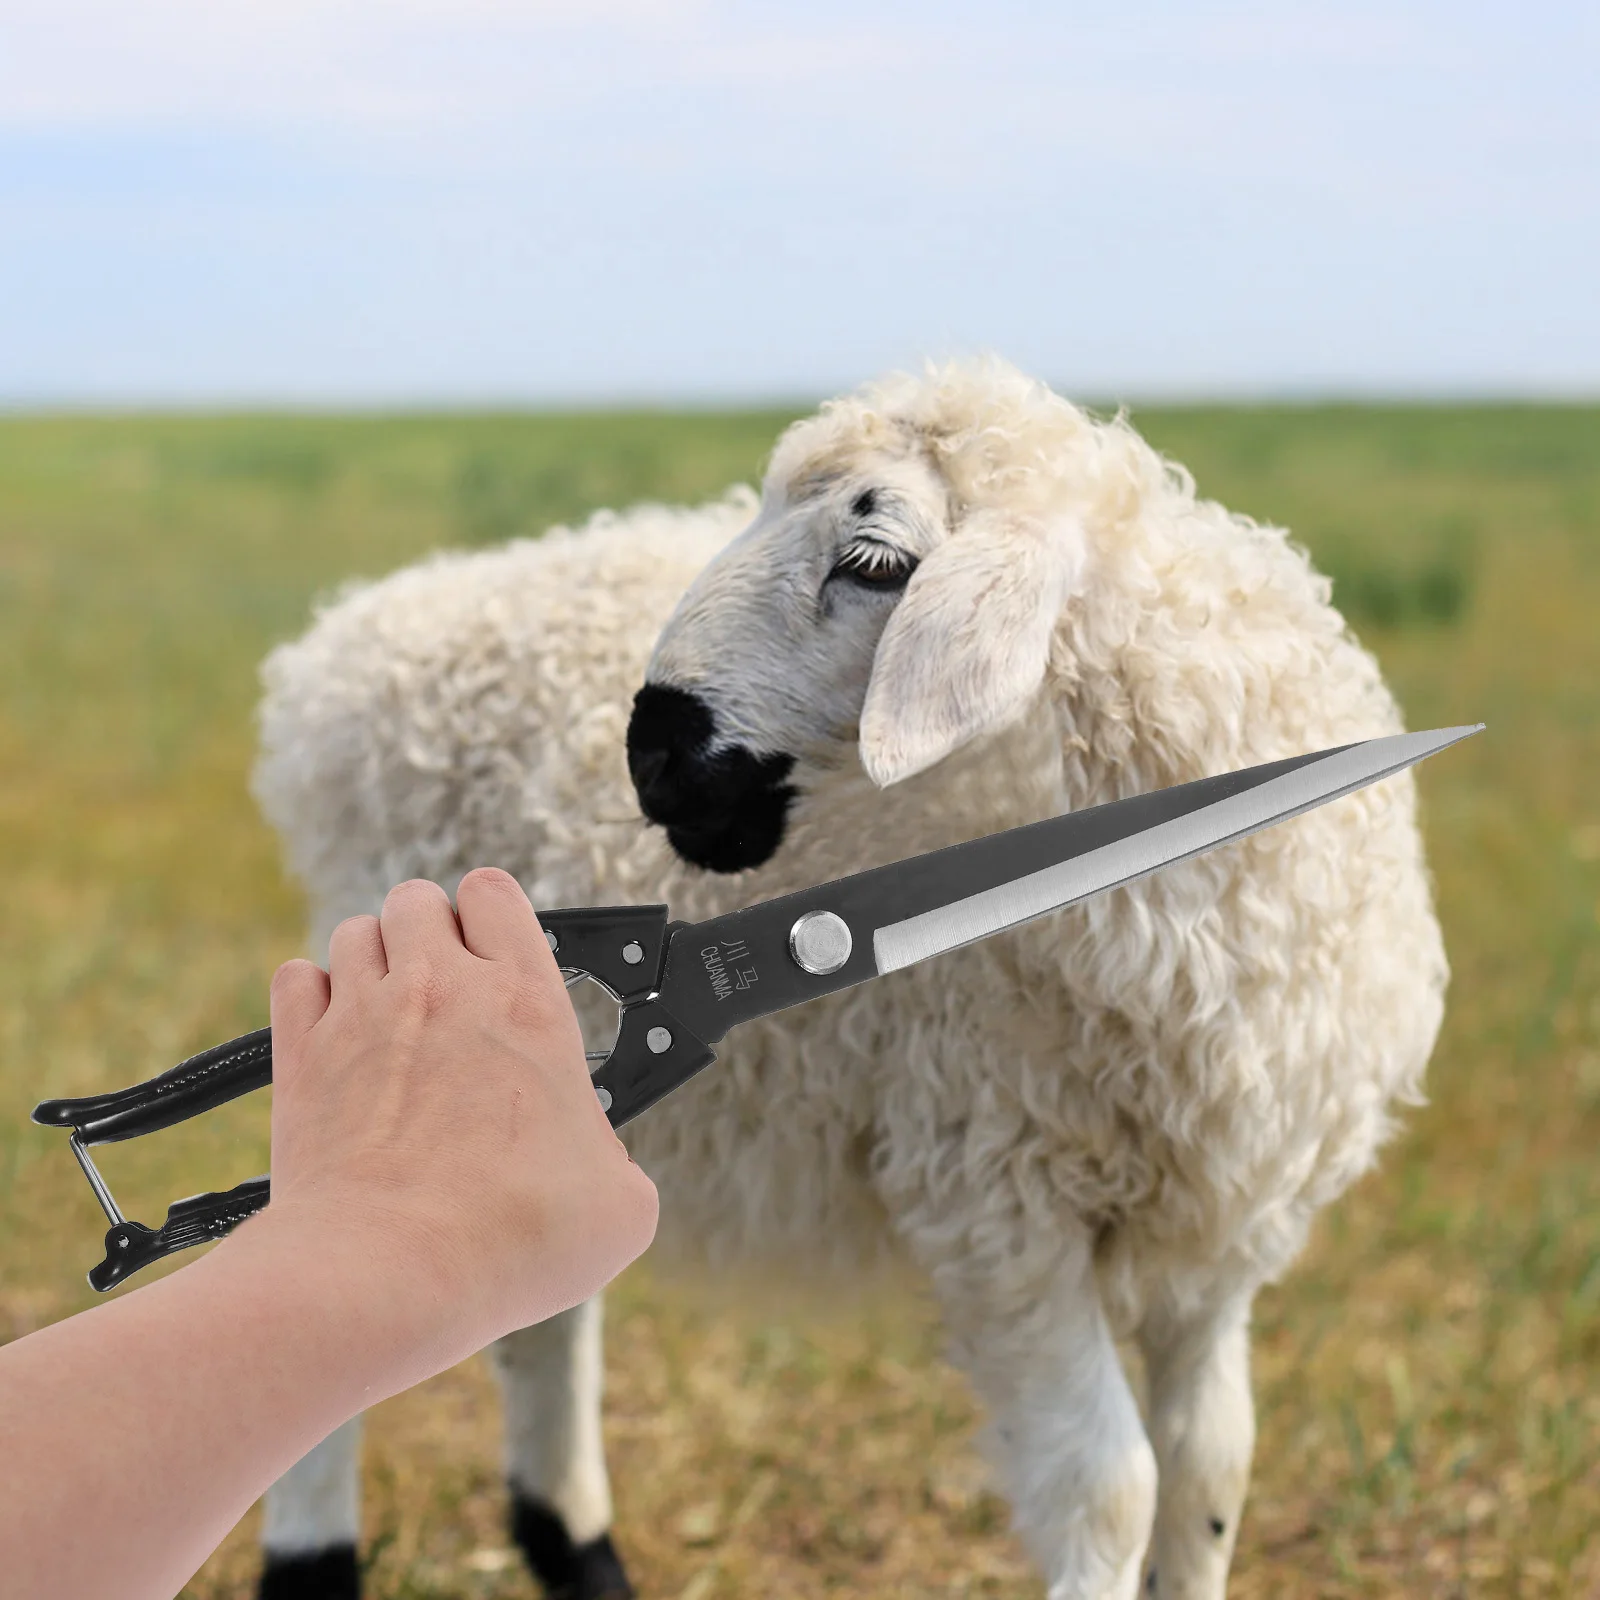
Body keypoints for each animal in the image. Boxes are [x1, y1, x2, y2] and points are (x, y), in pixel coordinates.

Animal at [251, 358, 1448, 1600]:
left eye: (873, 564)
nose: (650, 754)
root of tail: (348, 646)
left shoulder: (1223, 1222)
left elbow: (1211, 1466)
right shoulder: (993, 1197)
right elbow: (1107, 1488)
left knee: (541, 1316)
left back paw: (575, 1547)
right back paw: (314, 1560)